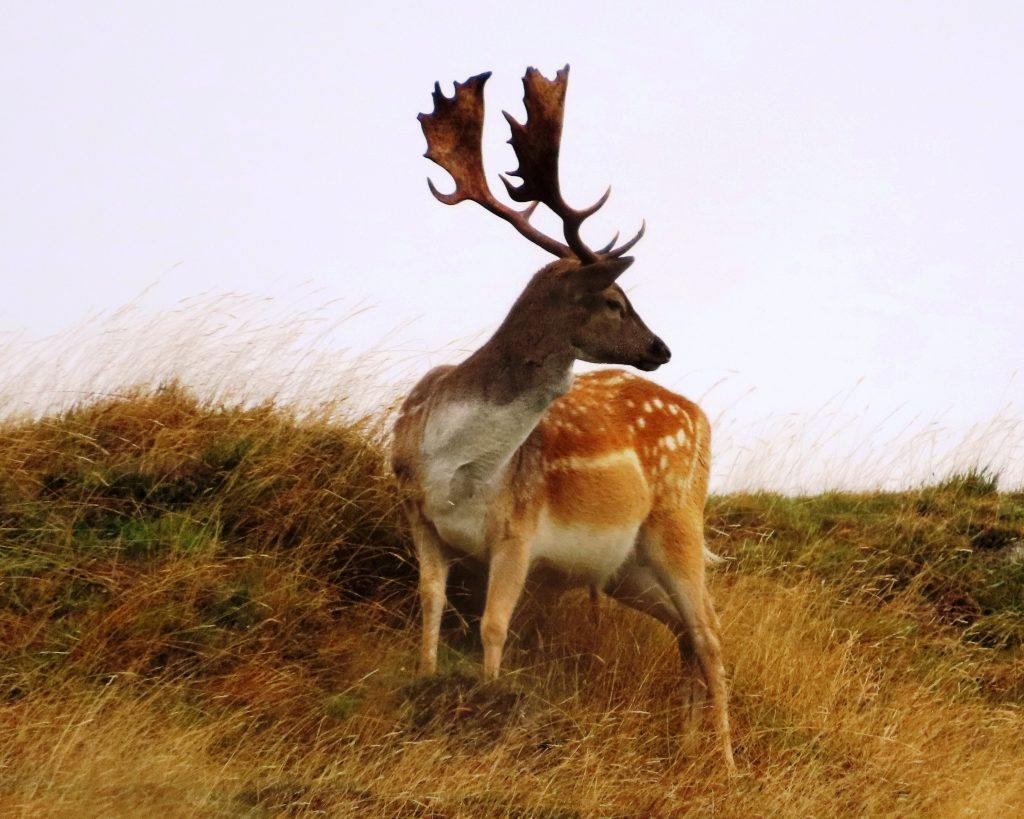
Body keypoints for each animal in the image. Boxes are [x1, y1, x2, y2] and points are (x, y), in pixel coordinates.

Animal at [391, 67, 737, 769]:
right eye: (613, 299)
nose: (661, 347)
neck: (456, 461)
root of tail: (700, 418)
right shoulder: (417, 513)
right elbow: (431, 606)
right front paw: (427, 680)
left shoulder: (519, 525)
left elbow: (494, 625)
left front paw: (489, 711)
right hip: (629, 568)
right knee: (687, 637)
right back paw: (689, 748)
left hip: (679, 518)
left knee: (712, 636)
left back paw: (727, 764)